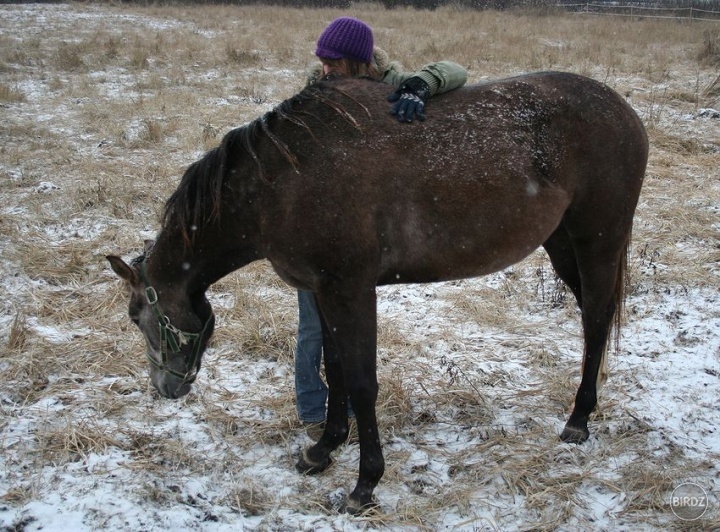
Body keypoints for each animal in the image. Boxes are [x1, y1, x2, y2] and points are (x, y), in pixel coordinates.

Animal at [105, 72, 648, 512]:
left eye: (136, 316)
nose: (165, 389)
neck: (281, 182)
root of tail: (624, 111)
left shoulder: (351, 290)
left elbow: (363, 382)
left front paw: (365, 484)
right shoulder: (321, 292)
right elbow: (335, 369)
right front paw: (322, 450)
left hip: (596, 241)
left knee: (596, 320)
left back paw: (579, 419)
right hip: (561, 244)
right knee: (594, 316)